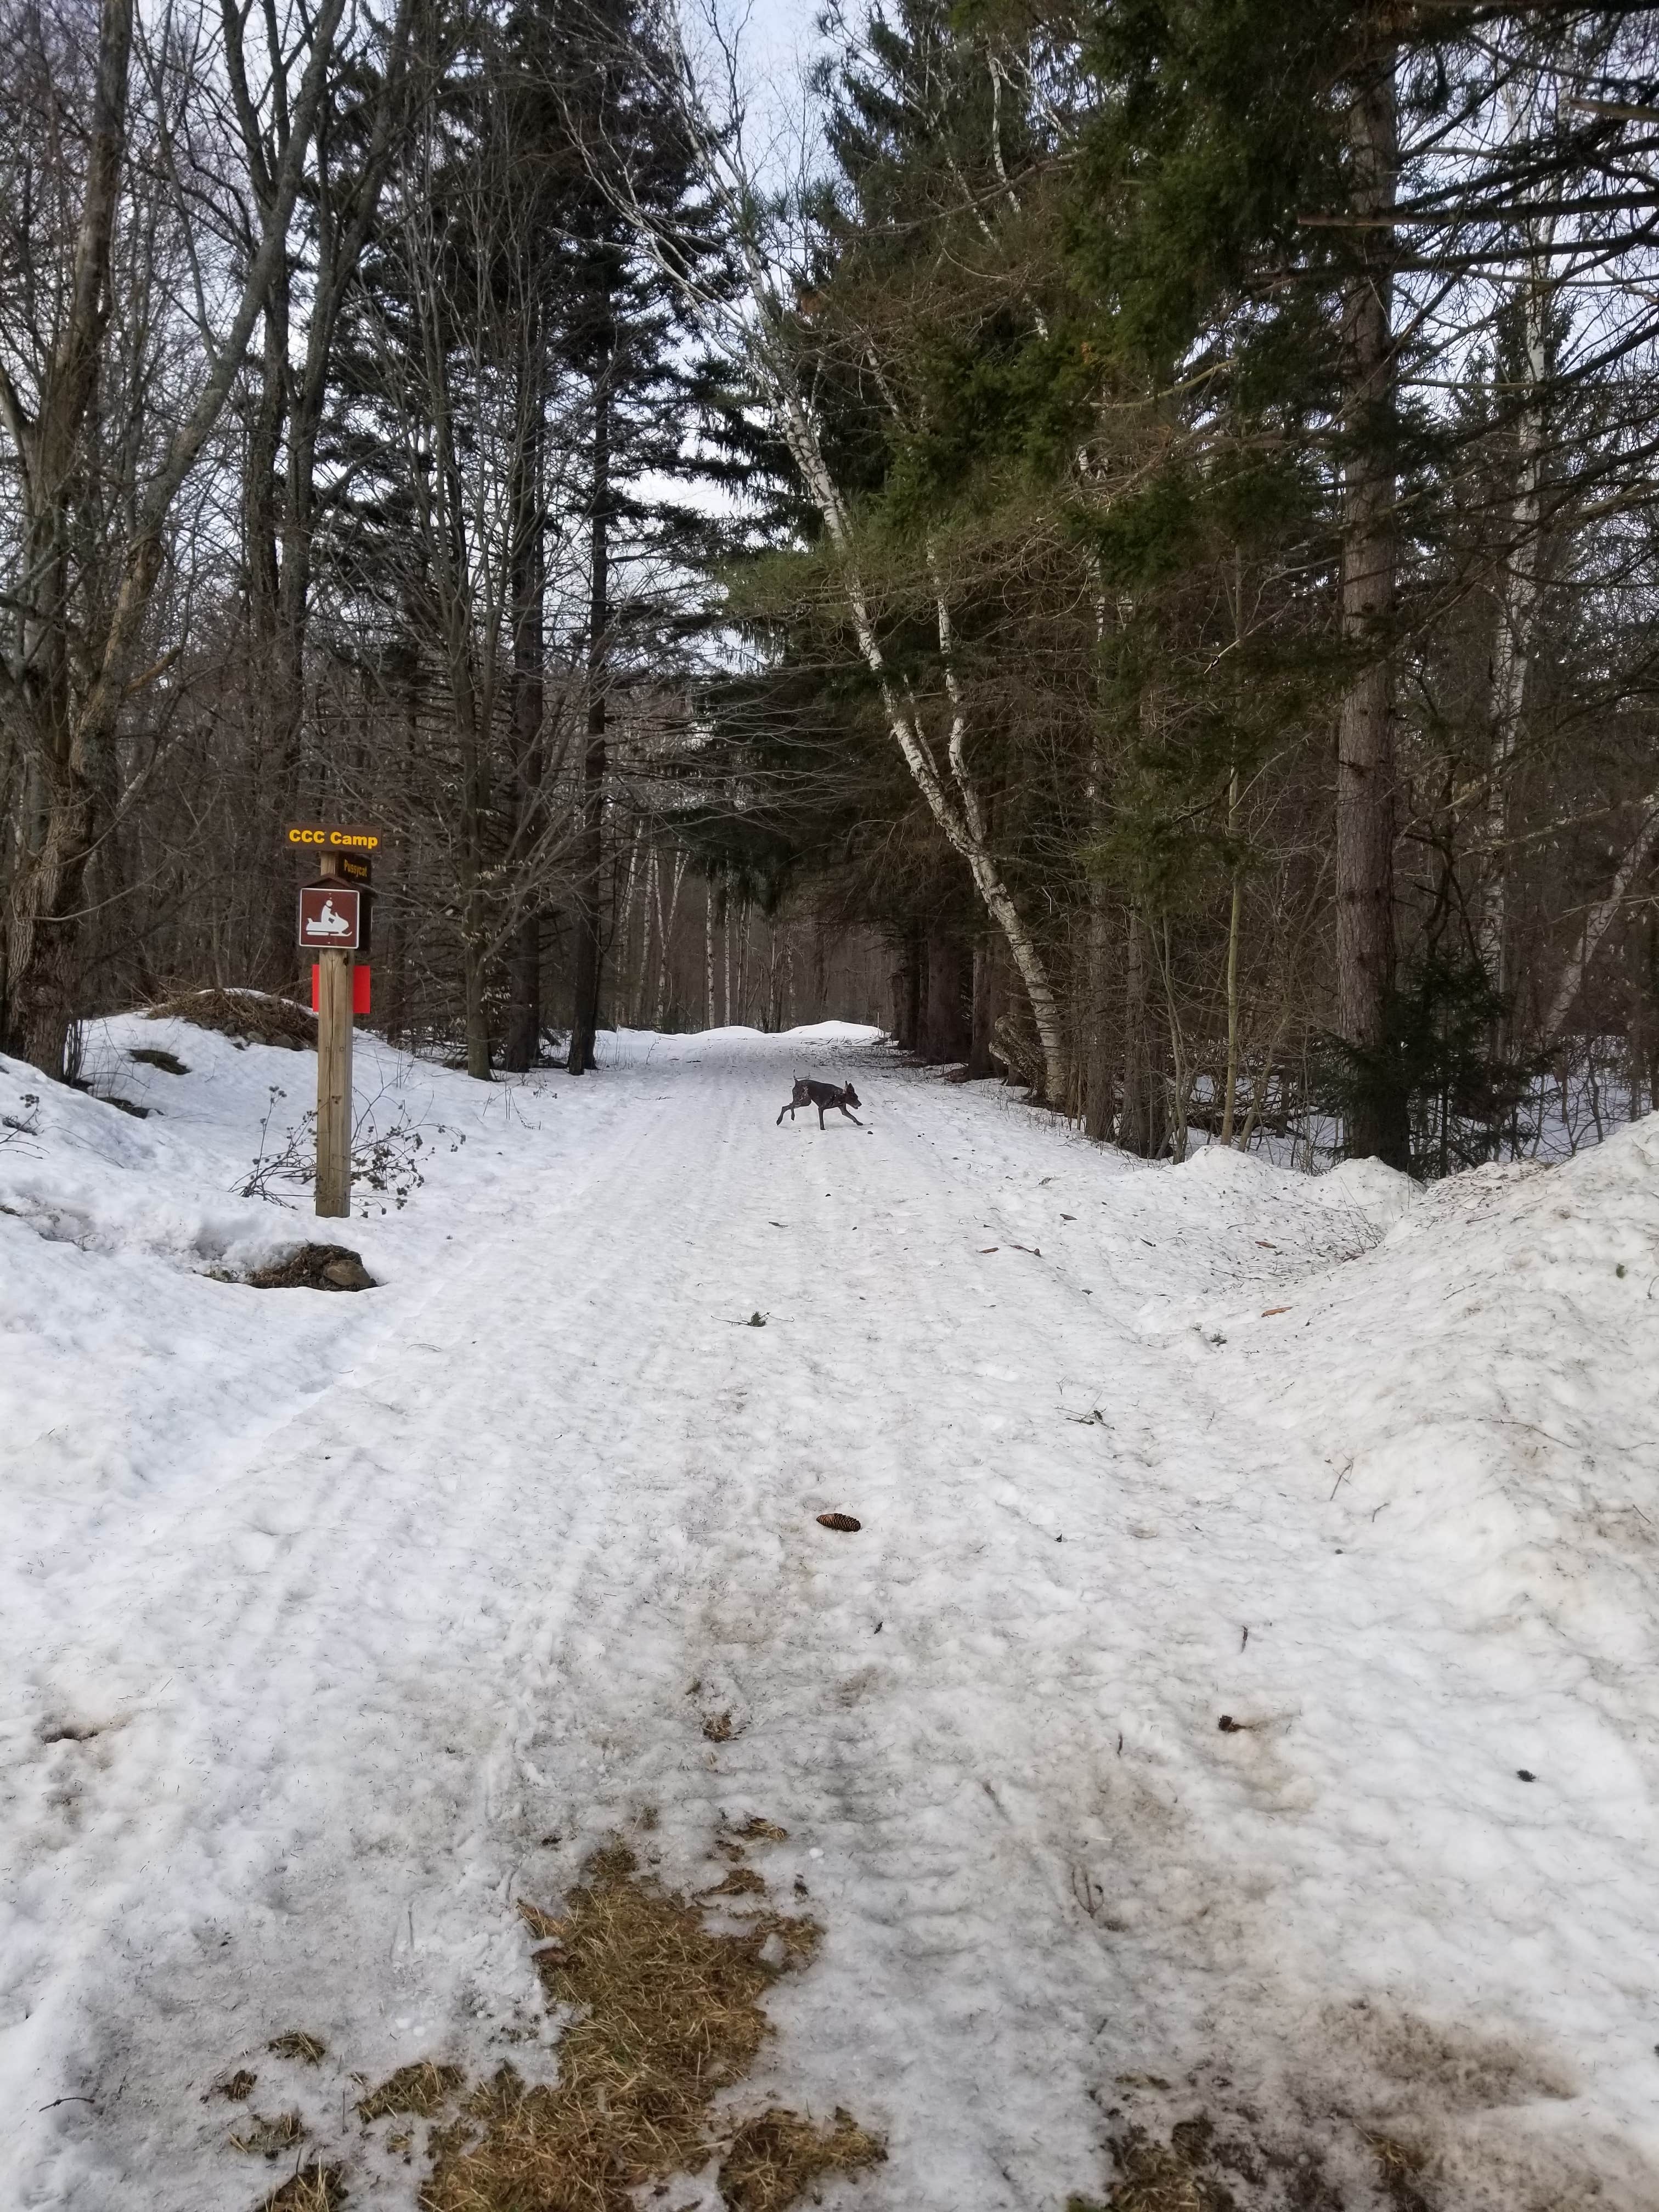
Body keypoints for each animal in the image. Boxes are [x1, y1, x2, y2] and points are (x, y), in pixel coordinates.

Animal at [778, 1079, 862, 1132]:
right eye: (853, 1098)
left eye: (857, 1097)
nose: (860, 1104)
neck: (838, 1095)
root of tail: (797, 1082)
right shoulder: (821, 1108)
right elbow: (822, 1122)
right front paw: (823, 1129)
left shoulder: (844, 1111)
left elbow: (853, 1117)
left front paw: (859, 1123)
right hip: (800, 1101)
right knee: (790, 1106)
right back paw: (792, 1116)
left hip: (805, 1102)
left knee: (785, 1107)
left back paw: (779, 1121)